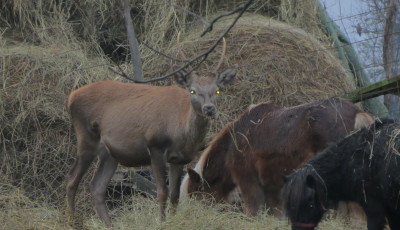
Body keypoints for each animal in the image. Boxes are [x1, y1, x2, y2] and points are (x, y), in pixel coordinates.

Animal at [67, 36, 236, 226]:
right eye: (193, 90)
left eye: (217, 90)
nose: (209, 108)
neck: (181, 132)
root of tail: (71, 97)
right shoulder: (155, 146)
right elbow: (162, 191)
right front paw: (161, 222)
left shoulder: (180, 158)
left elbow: (175, 194)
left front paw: (172, 219)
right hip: (86, 138)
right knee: (72, 180)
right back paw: (72, 220)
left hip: (110, 154)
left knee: (97, 187)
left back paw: (109, 225)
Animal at [180, 97, 374, 216]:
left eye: (195, 195)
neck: (232, 146)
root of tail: (357, 112)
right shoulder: (273, 189)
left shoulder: (250, 183)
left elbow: (252, 212)